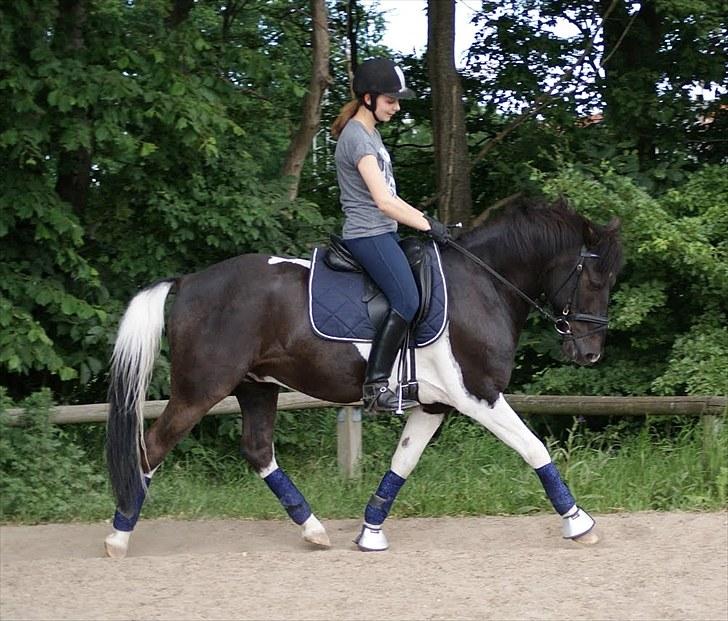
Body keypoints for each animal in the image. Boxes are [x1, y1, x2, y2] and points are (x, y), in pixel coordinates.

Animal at [105, 199, 624, 556]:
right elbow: (534, 448)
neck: (483, 284)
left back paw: (312, 529)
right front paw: (579, 523)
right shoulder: (478, 394)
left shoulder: (435, 404)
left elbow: (402, 463)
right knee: (151, 447)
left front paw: (371, 530)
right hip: (200, 389)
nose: (590, 352)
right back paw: (118, 535)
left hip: (257, 387)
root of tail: (190, 281)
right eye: (595, 279)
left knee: (257, 451)